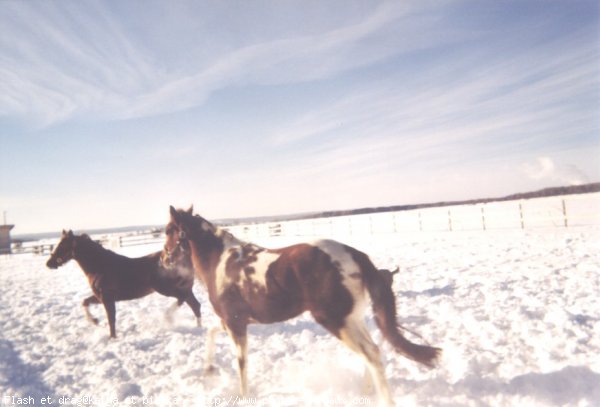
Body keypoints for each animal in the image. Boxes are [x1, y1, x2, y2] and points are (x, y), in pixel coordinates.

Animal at [47, 230, 202, 338]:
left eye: (62, 245)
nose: (49, 263)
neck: (100, 266)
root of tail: (184, 256)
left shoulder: (107, 299)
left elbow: (111, 319)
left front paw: (112, 338)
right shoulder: (100, 297)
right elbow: (85, 302)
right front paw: (95, 321)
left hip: (166, 289)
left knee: (183, 299)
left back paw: (168, 317)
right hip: (182, 288)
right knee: (194, 305)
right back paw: (198, 328)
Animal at [164, 209, 440, 406]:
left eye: (168, 230)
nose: (165, 258)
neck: (220, 262)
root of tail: (355, 255)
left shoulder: (235, 323)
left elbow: (241, 363)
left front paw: (242, 396)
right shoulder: (233, 321)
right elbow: (211, 333)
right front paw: (208, 369)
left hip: (335, 321)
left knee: (370, 353)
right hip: (352, 319)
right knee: (372, 351)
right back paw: (365, 394)